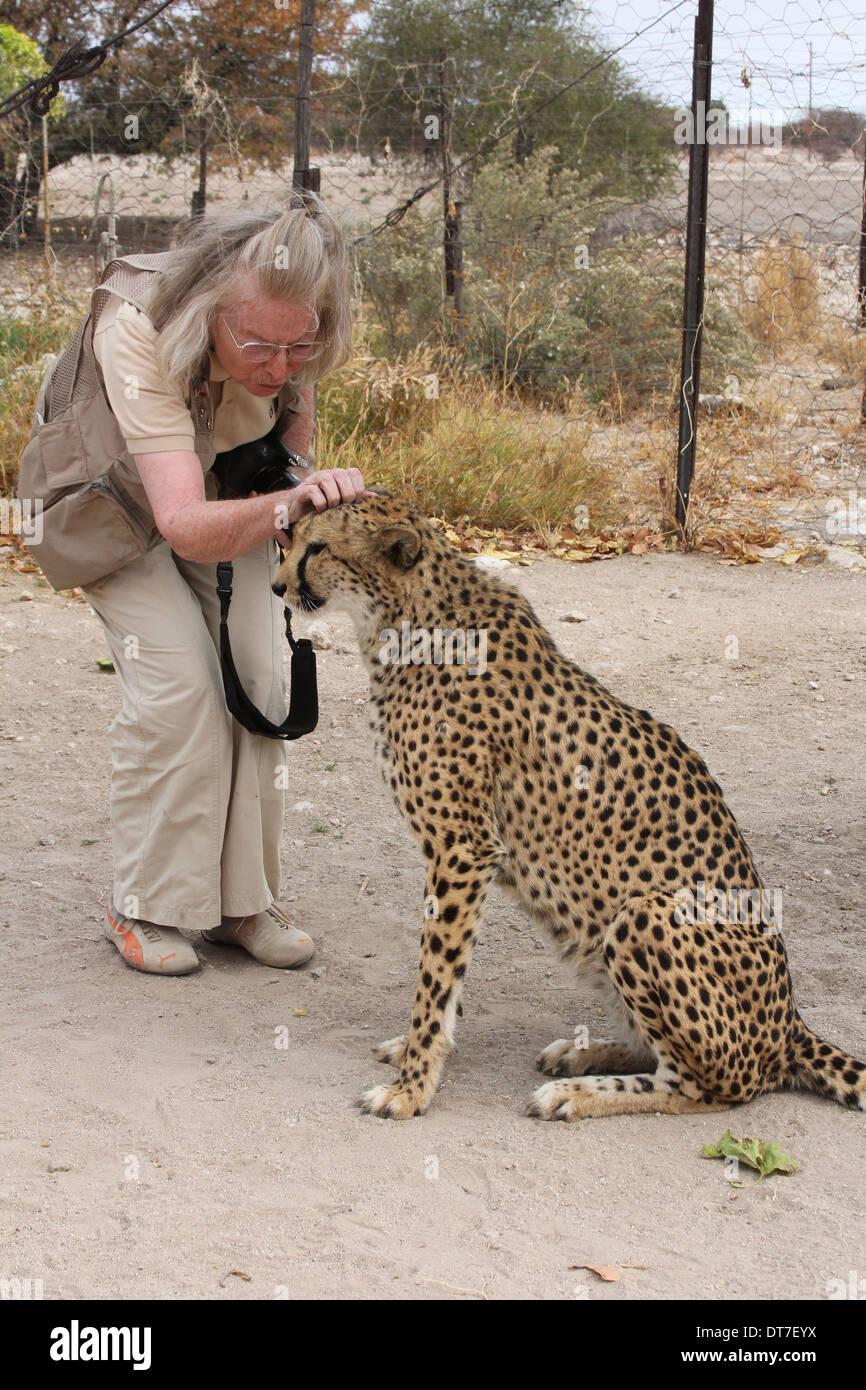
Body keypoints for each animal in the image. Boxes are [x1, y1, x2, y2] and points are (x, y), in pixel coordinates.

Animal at [272, 494, 866, 1123]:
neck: (405, 615)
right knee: (658, 1049)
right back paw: (582, 1053)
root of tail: (791, 1026)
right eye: (290, 539)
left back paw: (578, 1092)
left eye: (317, 548)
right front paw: (413, 1056)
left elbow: (435, 978)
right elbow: (445, 978)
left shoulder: (463, 849)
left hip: (646, 914)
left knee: (709, 1085)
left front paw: (412, 1086)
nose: (277, 585)